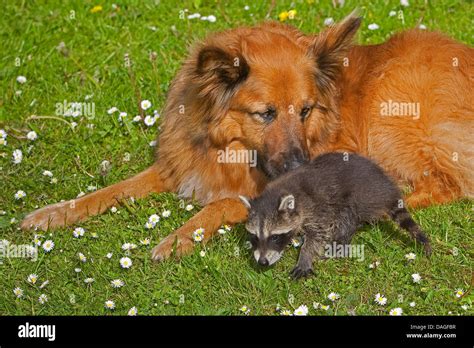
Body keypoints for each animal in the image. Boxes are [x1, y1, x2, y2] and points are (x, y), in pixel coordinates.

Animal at [21, 14, 474, 260]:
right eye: (265, 113)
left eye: (306, 110)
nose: (301, 167)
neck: (230, 151)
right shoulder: (179, 165)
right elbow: (108, 191)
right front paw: (54, 213)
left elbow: (219, 205)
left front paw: (178, 238)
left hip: (388, 112)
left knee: (446, 184)